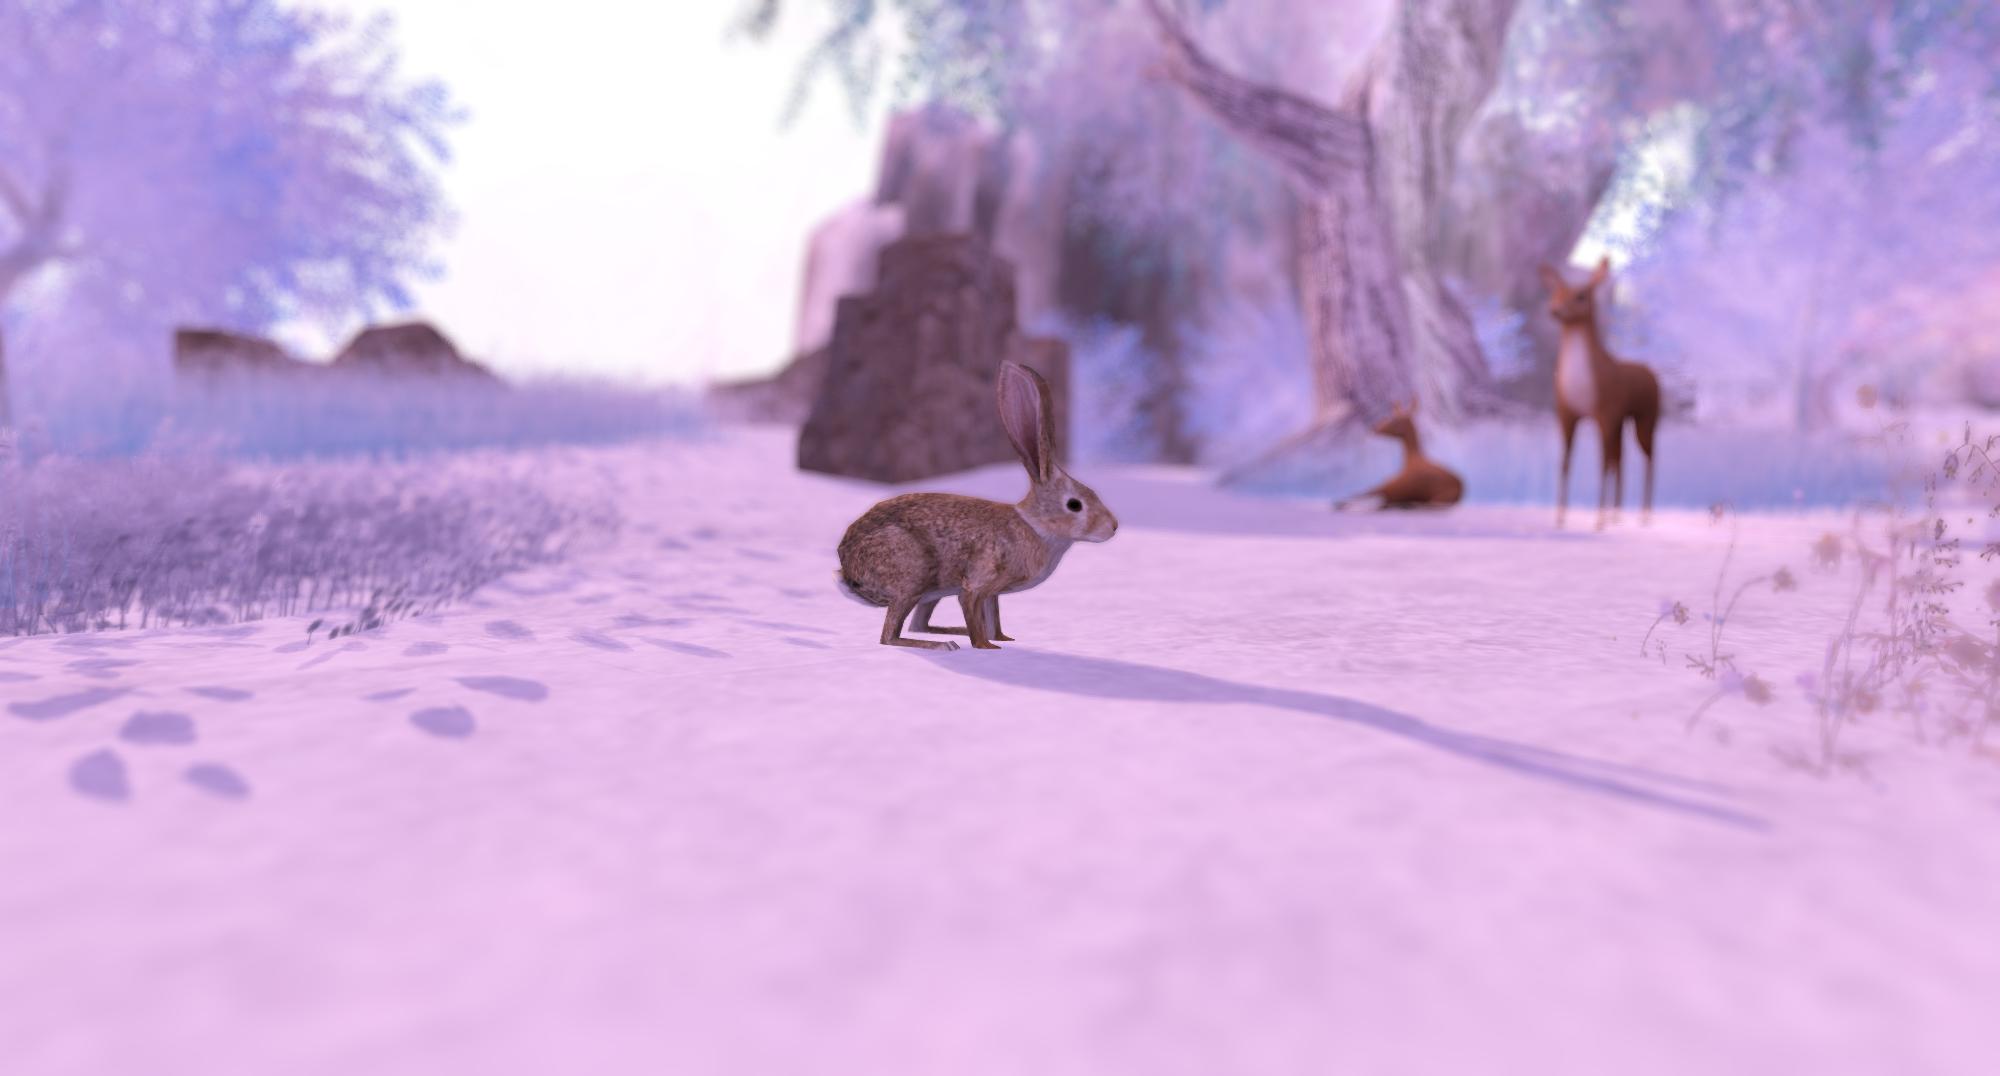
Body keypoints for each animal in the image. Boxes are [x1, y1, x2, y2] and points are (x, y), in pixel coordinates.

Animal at [835, 361, 1117, 650]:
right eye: (1074, 505)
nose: (1113, 527)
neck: (1036, 525)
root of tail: (848, 567)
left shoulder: (993, 593)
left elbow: (993, 615)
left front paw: (1002, 638)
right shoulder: (977, 582)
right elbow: (972, 609)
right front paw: (986, 646)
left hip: (930, 593)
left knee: (919, 624)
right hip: (912, 576)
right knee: (889, 635)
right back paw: (943, 645)